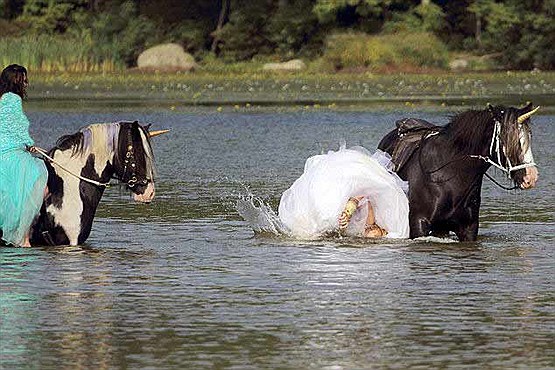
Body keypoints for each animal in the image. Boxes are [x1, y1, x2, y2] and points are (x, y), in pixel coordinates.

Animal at [378, 102, 540, 241]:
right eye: (507, 139)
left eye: (529, 137)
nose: (531, 177)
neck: (449, 175)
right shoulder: (419, 223)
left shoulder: (468, 228)